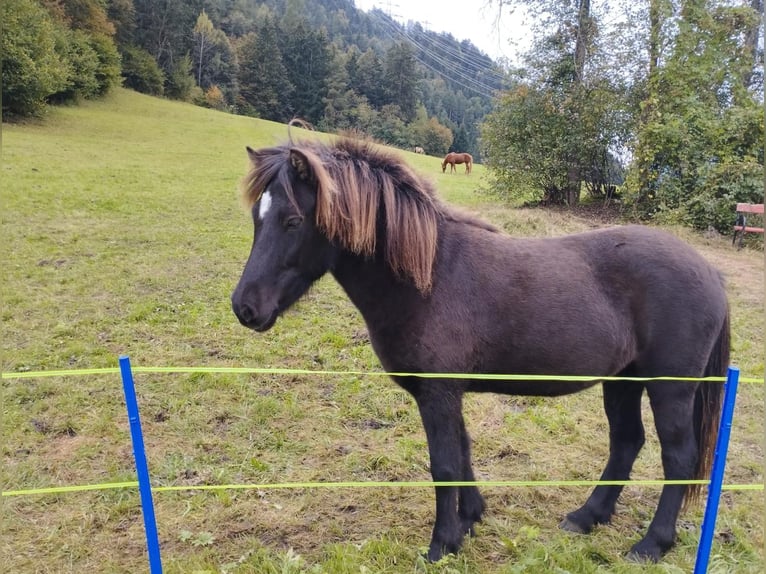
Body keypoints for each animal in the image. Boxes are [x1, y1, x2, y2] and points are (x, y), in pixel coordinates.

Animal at [231, 138, 729, 564]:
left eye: (293, 221)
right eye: (256, 217)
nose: (245, 307)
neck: (428, 276)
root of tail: (710, 272)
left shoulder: (438, 393)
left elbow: (445, 463)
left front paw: (442, 544)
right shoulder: (446, 394)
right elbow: (464, 452)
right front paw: (470, 520)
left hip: (669, 389)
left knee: (677, 458)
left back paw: (651, 544)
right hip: (623, 381)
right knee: (626, 443)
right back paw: (587, 517)